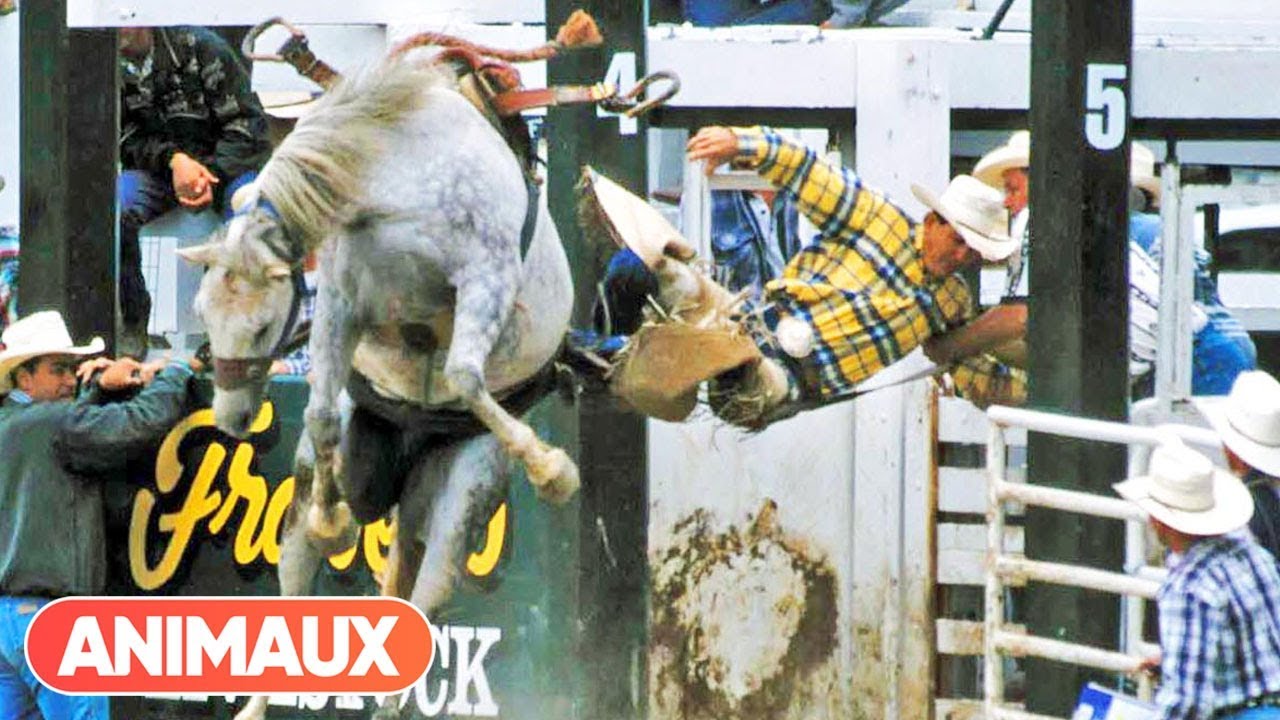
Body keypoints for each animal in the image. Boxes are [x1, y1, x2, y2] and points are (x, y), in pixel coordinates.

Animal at [177, 54, 579, 718]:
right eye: (202, 313)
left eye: (260, 325)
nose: (231, 418)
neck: (396, 179)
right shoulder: (341, 304)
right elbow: (319, 417)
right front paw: (330, 519)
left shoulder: (487, 275)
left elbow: (465, 376)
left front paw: (551, 467)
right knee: (304, 575)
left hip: (459, 496)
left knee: (429, 587)